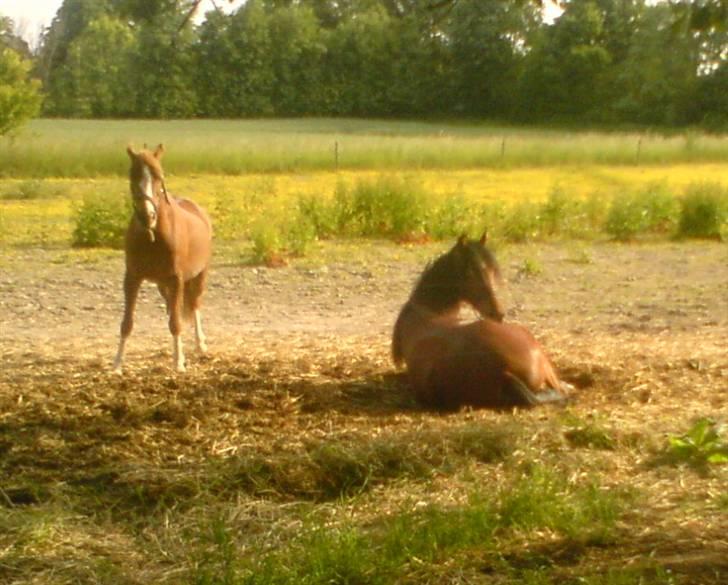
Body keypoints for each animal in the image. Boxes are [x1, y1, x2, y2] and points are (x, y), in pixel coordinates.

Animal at [112, 145, 210, 374]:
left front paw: (179, 363)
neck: (153, 236)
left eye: (159, 176)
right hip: (163, 286)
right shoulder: (132, 279)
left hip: (198, 276)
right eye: (133, 175)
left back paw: (200, 345)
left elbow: (176, 323)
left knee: (194, 305)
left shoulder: (176, 280)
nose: (147, 216)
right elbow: (126, 323)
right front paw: (117, 364)